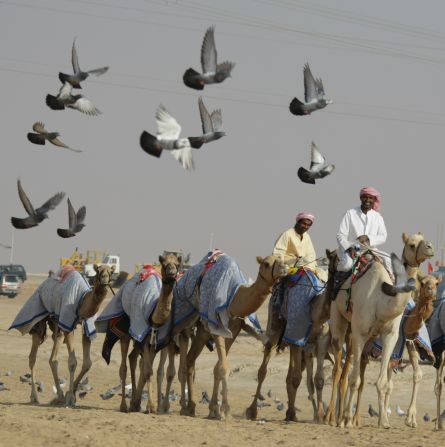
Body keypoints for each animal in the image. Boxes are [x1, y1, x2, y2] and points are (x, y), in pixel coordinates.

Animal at [9, 264, 113, 408]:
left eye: (111, 272)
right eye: (98, 270)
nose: (104, 279)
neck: (82, 300)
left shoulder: (86, 326)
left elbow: (87, 363)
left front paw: (71, 393)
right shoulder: (68, 323)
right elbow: (73, 362)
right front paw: (70, 398)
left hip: (57, 324)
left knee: (53, 358)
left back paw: (59, 396)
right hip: (40, 319)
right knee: (32, 357)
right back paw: (35, 397)